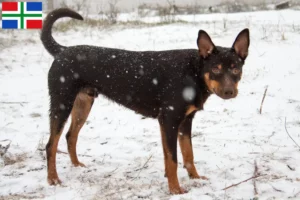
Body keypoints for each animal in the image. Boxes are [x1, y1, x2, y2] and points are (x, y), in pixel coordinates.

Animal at [41, 8, 250, 195]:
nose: (229, 92)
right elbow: (173, 159)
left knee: (70, 136)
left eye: (235, 69)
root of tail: (62, 51)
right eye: (215, 68)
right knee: (51, 144)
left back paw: (77, 166)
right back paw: (53, 179)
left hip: (83, 104)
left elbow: (188, 155)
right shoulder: (169, 120)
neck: (193, 72)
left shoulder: (184, 121)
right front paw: (175, 190)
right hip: (62, 104)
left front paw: (195, 178)